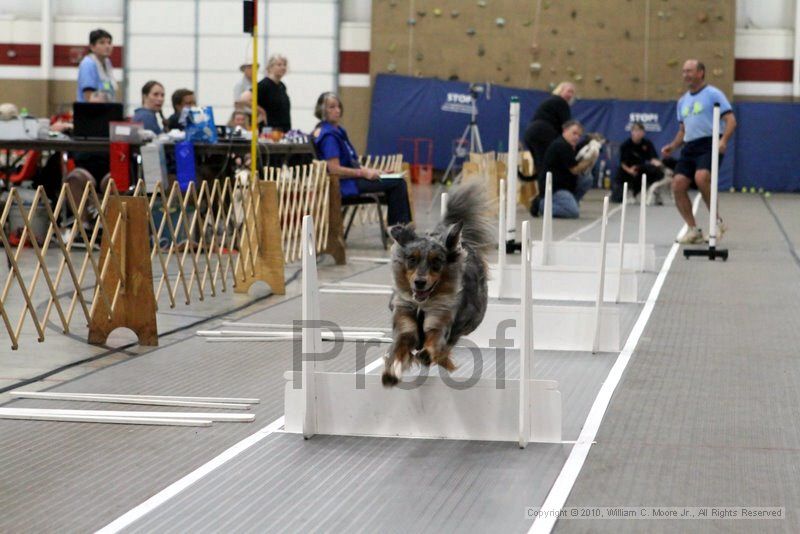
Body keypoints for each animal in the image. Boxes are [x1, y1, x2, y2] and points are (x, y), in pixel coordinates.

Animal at [382, 182, 494, 388]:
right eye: (412, 259)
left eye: (436, 262)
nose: (419, 282)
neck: (422, 305)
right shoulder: (404, 323)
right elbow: (399, 348)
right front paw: (391, 372)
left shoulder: (439, 321)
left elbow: (434, 342)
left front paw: (427, 354)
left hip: (469, 319)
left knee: (448, 344)